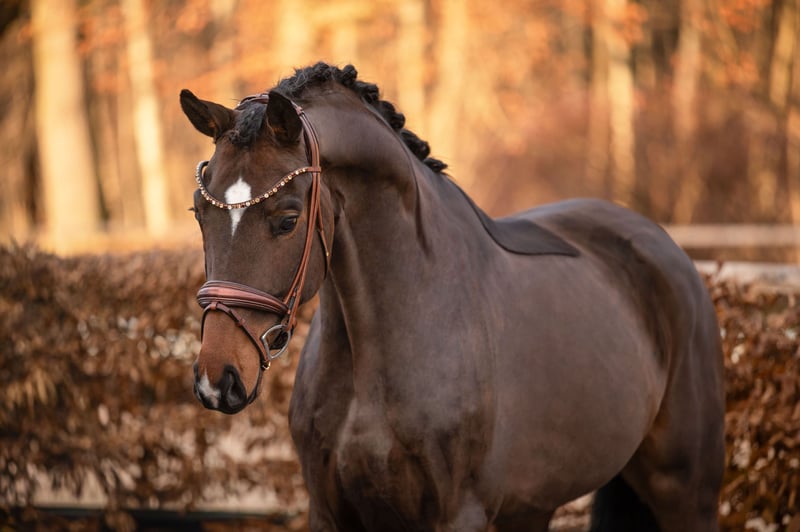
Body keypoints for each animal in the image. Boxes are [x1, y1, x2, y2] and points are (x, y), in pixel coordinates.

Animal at [180, 63, 725, 531]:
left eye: (288, 219)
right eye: (198, 213)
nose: (217, 379)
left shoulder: (457, 515)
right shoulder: (331, 513)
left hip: (686, 493)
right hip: (534, 505)